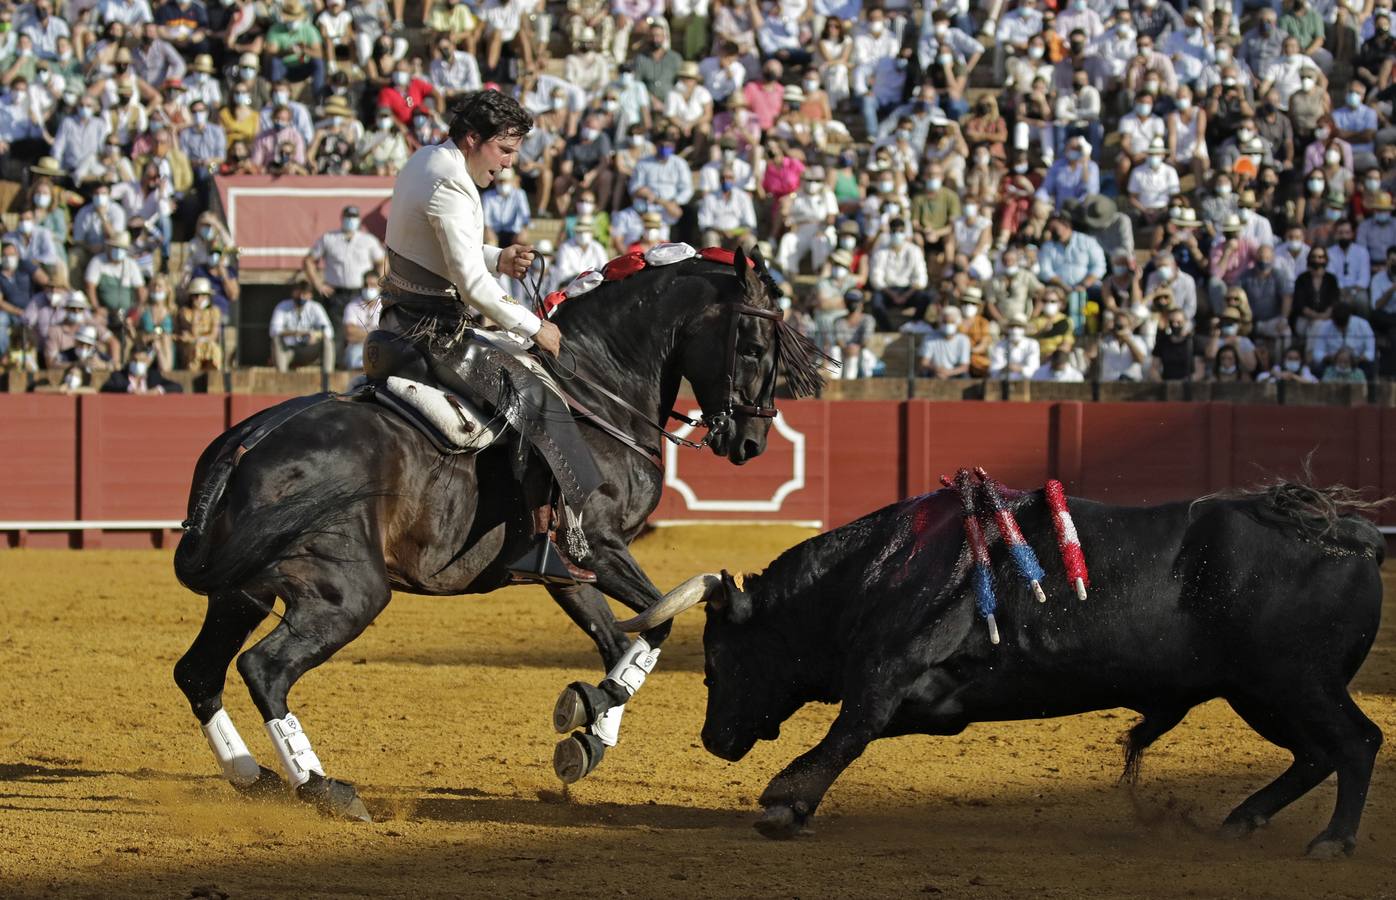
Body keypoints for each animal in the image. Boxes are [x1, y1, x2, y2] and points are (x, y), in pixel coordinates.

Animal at [174, 245, 826, 814]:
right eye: (754, 345)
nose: (751, 442)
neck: (594, 391)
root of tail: (246, 443)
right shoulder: (602, 546)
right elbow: (659, 622)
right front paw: (589, 714)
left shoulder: (567, 571)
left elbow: (621, 639)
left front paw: (588, 732)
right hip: (347, 594)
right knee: (264, 669)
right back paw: (322, 787)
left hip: (244, 593)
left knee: (198, 673)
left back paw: (249, 773)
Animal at [622, 479, 1384, 853]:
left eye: (718, 656)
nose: (713, 740)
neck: (875, 572)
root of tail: (1353, 534)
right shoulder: (930, 700)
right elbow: (859, 733)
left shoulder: (886, 675)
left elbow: (847, 732)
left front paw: (785, 804)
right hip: (1260, 693)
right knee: (1316, 754)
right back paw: (1243, 821)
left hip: (1294, 682)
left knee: (1356, 742)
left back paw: (1333, 840)